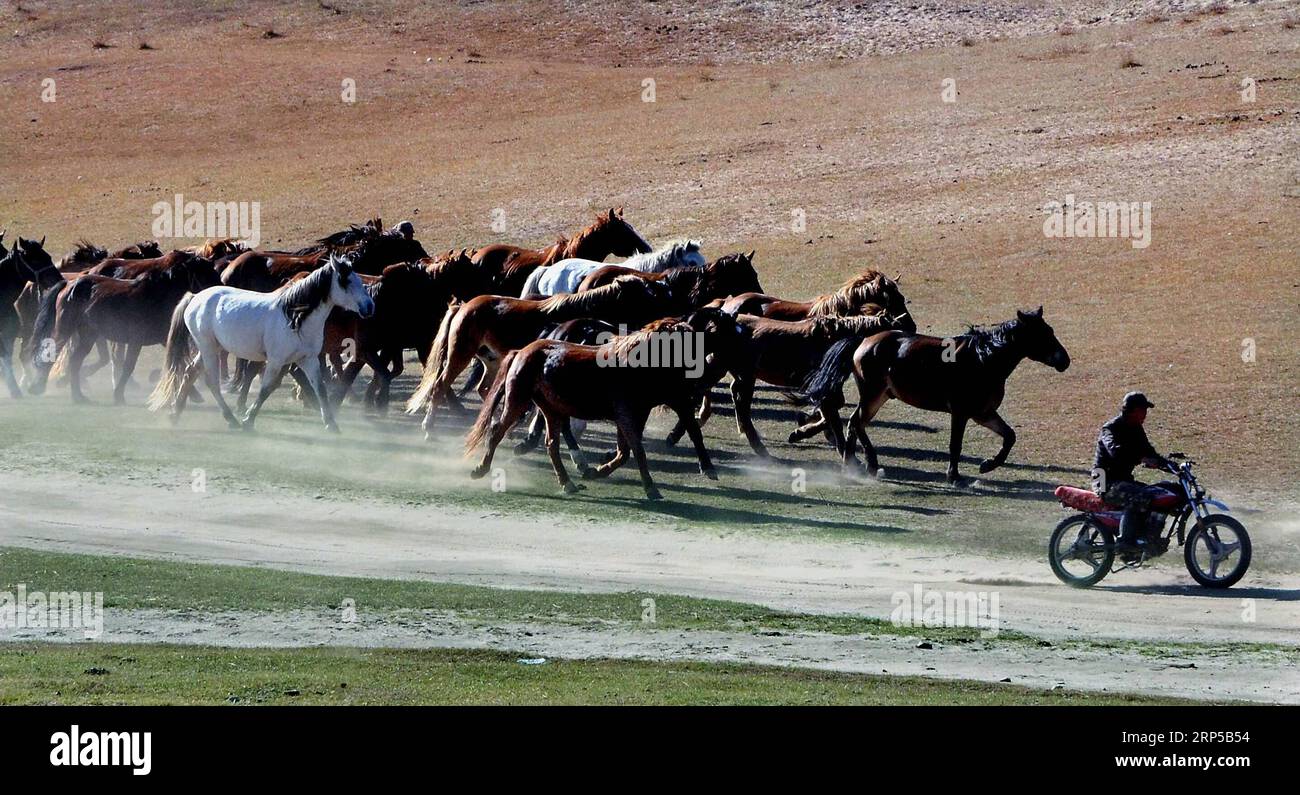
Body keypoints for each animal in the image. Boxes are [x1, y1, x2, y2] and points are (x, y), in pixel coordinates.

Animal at [152, 254, 379, 431]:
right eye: (346, 282)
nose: (369, 307)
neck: (294, 318)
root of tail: (195, 297)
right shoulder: (277, 361)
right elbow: (266, 389)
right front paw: (248, 420)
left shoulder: (308, 359)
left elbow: (320, 388)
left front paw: (331, 424)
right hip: (208, 349)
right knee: (211, 382)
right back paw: (231, 419)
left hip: (210, 348)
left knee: (189, 372)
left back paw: (175, 413)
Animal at [467, 309, 754, 498]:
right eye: (730, 331)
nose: (749, 357)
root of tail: (522, 352)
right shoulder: (632, 413)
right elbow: (637, 450)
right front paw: (652, 488)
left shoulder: (645, 411)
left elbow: (627, 451)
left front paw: (600, 470)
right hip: (518, 400)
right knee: (497, 431)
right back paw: (481, 469)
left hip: (551, 410)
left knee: (552, 443)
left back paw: (569, 480)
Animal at [800, 309, 1066, 483]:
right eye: (1041, 334)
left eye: (1050, 330)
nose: (1065, 360)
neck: (984, 359)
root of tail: (863, 340)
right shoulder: (961, 413)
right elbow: (955, 444)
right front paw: (955, 477)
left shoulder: (983, 413)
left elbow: (1009, 436)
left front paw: (987, 466)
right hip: (873, 396)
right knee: (856, 423)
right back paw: (867, 465)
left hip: (880, 397)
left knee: (856, 424)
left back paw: (854, 465)